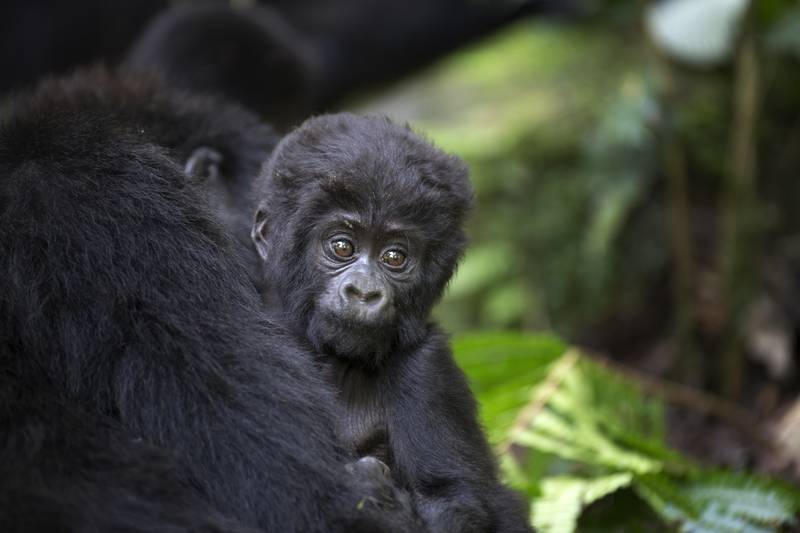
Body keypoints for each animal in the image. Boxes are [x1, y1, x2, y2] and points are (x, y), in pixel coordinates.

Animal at [253, 114, 536, 528]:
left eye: (394, 257)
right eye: (342, 247)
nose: (365, 292)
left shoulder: (428, 364)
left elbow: (452, 499)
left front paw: (371, 489)